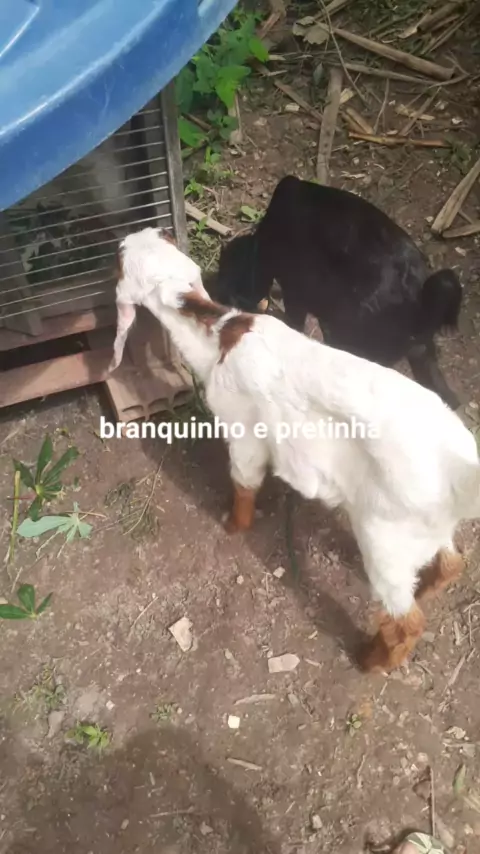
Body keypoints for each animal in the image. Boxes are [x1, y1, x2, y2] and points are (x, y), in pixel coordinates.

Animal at [110, 227, 480, 673]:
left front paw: (233, 525)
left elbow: (244, 483)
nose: (120, 239)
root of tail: (461, 471)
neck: (221, 339)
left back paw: (370, 660)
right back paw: (424, 588)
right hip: (423, 528)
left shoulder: (245, 432)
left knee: (407, 621)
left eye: (120, 256)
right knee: (451, 564)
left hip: (384, 536)